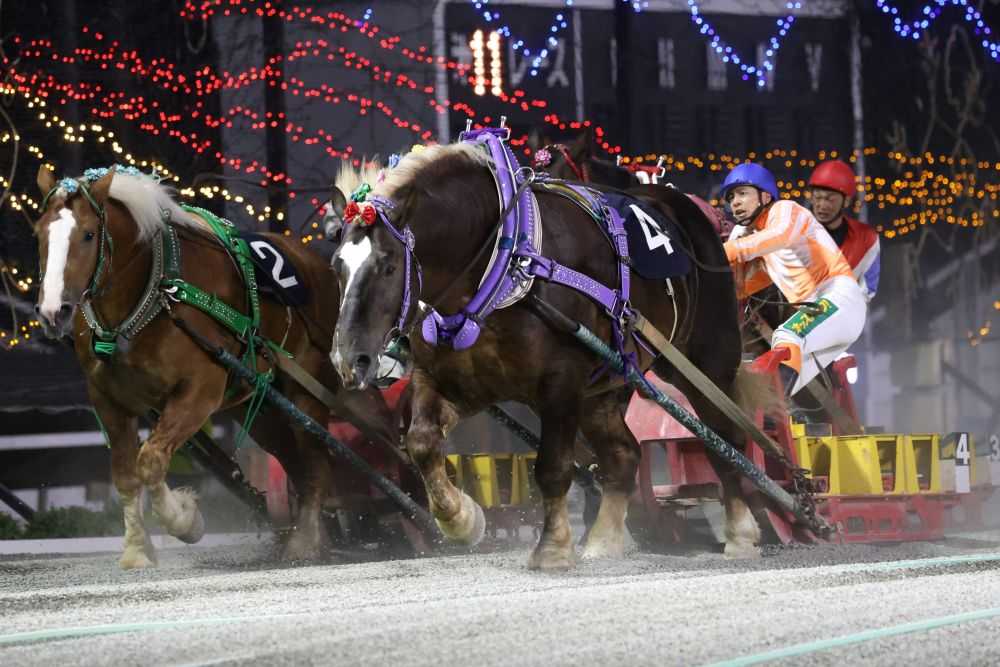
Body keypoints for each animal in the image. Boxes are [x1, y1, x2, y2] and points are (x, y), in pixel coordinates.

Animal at [32, 164, 398, 568]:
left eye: (88, 234)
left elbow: (151, 460)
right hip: (261, 407)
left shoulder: (199, 391)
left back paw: (308, 542)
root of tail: (320, 266)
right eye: (39, 232)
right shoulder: (108, 400)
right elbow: (126, 475)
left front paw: (184, 519)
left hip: (308, 393)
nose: (53, 311)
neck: (156, 295)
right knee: (297, 463)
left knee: (319, 464)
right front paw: (137, 549)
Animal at [328, 134, 770, 570]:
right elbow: (421, 442)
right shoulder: (451, 380)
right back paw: (604, 540)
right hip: (604, 386)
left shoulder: (561, 382)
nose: (350, 359)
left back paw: (740, 532)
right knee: (623, 455)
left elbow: (552, 468)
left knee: (726, 440)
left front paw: (553, 547)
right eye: (337, 265)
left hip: (706, 362)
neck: (506, 261)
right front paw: (461, 520)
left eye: (388, 265)